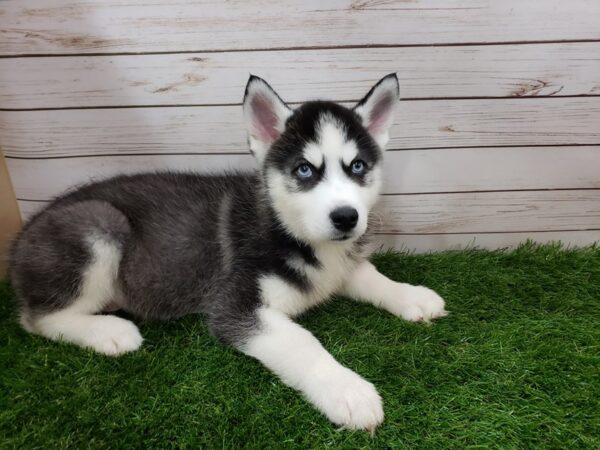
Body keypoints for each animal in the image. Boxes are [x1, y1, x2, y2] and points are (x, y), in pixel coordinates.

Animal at [10, 75, 446, 430]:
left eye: (357, 166)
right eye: (305, 170)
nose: (346, 217)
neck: (297, 235)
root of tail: (21, 238)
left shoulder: (340, 266)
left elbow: (370, 274)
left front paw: (412, 295)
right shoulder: (235, 307)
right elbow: (302, 343)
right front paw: (348, 391)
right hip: (98, 224)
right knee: (37, 319)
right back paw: (109, 332)